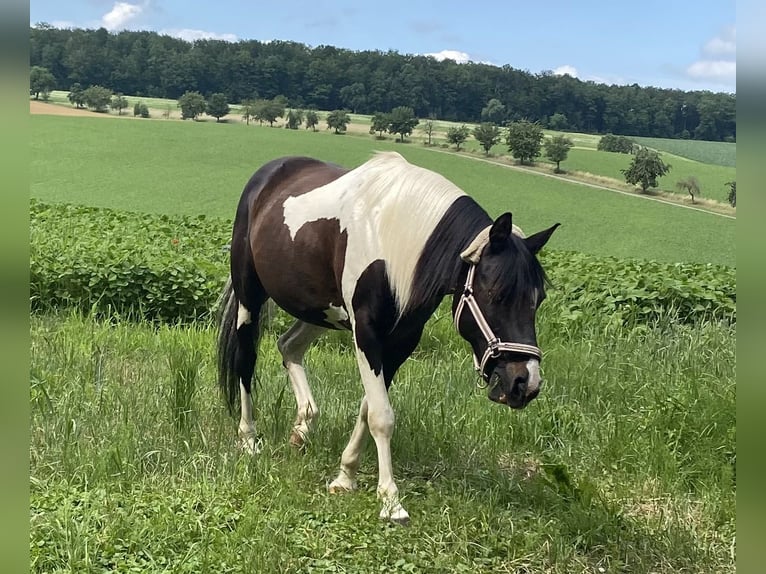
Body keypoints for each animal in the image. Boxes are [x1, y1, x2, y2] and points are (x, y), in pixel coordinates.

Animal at [216, 151, 559, 524]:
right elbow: (382, 416)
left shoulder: (400, 342)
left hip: (320, 310)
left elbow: (369, 407)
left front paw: (344, 476)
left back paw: (303, 426)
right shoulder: (366, 334)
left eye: (539, 298)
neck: (394, 239)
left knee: (288, 346)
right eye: (496, 293)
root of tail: (268, 174)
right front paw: (391, 501)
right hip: (251, 296)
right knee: (246, 360)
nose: (526, 382)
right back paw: (249, 438)